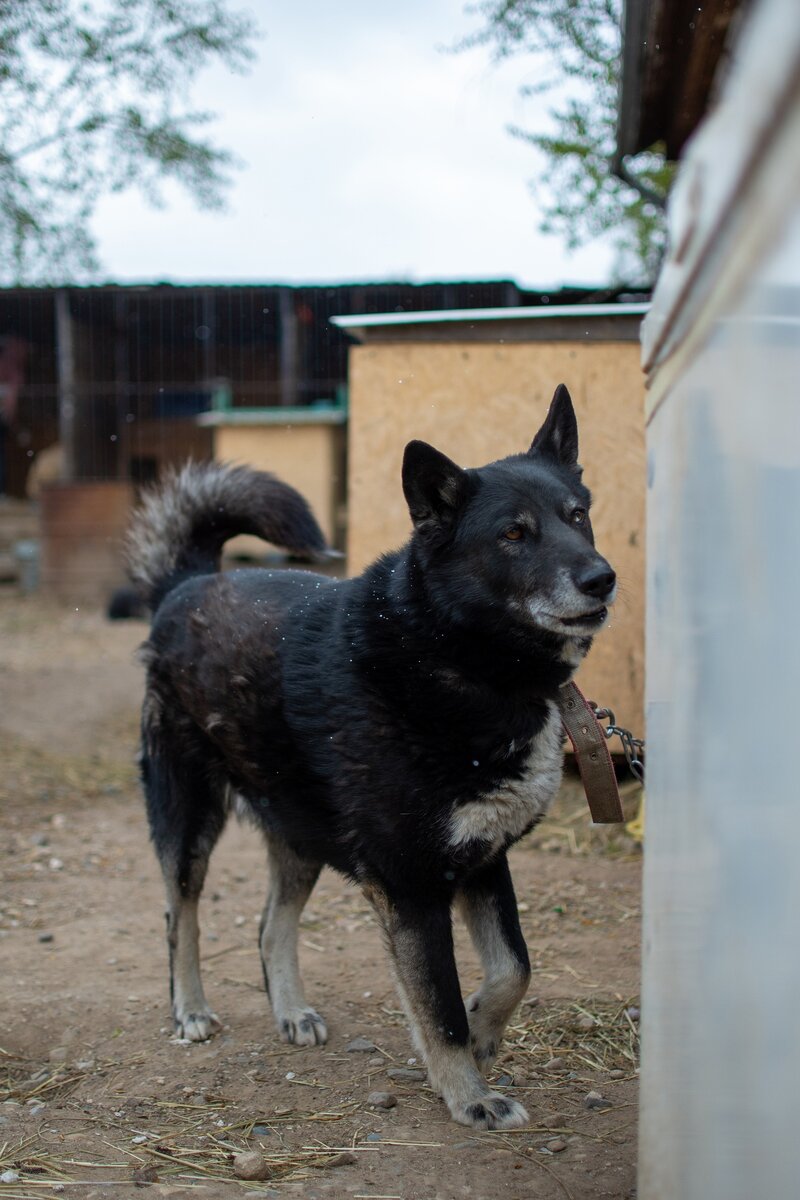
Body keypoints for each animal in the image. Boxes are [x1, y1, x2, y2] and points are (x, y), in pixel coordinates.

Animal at [128, 386, 618, 1132]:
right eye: (513, 534)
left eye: (577, 515)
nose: (602, 579)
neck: (457, 653)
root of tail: (188, 584)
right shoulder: (412, 884)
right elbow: (438, 1007)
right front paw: (469, 1096)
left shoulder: (482, 859)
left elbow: (515, 967)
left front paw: (483, 1029)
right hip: (189, 817)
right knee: (178, 914)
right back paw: (190, 1009)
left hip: (299, 830)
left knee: (271, 925)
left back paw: (291, 1010)